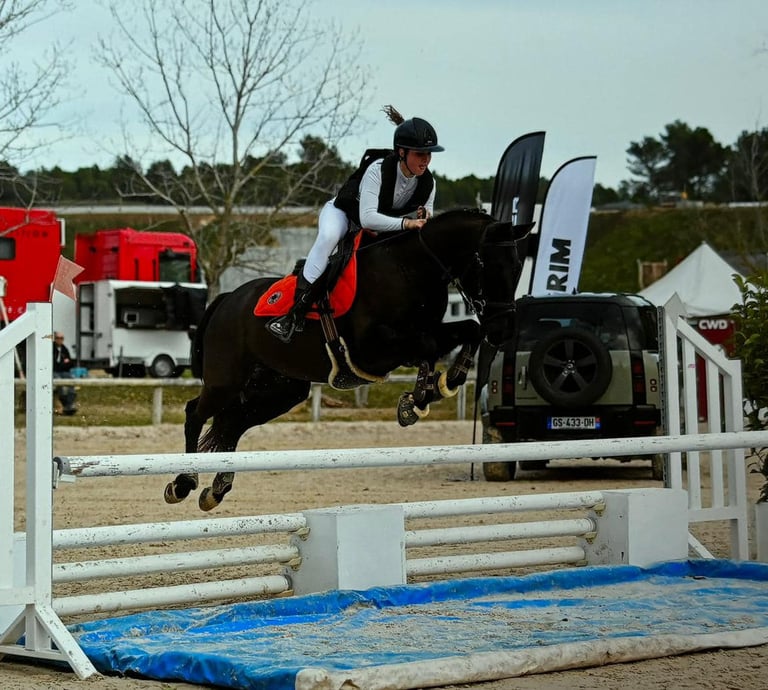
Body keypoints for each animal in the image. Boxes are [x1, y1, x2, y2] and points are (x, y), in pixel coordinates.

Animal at [166, 208, 530, 510]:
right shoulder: (375, 350)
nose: (504, 330)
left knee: (233, 423)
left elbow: (467, 330)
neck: (411, 267)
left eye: (517, 267)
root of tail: (227, 299)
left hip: (281, 389)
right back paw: (183, 483)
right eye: (488, 266)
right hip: (226, 380)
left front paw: (433, 389)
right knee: (195, 413)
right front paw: (421, 395)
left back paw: (216, 489)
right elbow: (428, 345)